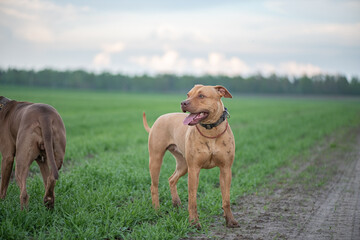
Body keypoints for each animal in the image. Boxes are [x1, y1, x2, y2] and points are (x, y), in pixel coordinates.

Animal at [143, 85, 239, 229]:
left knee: (172, 179)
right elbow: (192, 199)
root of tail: (159, 119)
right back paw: (156, 210)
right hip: (156, 159)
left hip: (183, 165)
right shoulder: (194, 170)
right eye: (188, 94)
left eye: (201, 96)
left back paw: (176, 203)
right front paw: (194, 222)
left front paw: (230, 220)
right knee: (154, 186)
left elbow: (226, 199)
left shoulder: (225, 169)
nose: (183, 102)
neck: (211, 130)